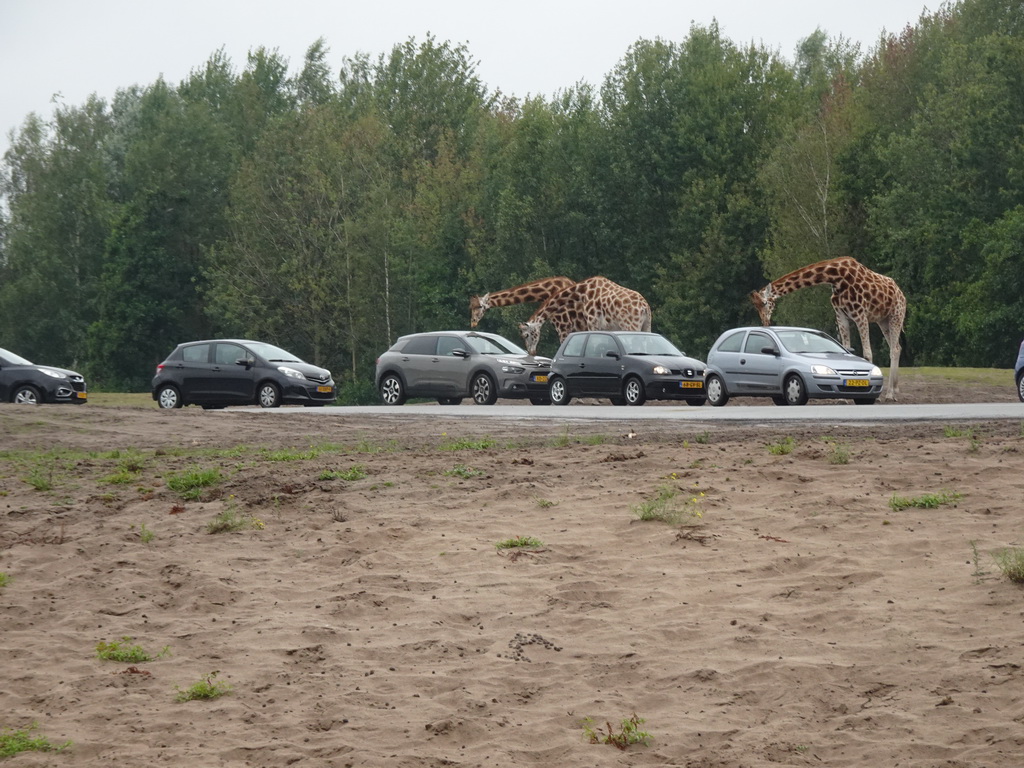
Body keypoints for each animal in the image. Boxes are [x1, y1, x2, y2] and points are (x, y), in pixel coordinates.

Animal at [516, 278, 651, 356]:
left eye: (526, 335)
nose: (532, 352)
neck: (582, 291)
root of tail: (644, 307)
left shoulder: (591, 323)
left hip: (631, 326)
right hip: (646, 326)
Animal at [753, 259, 905, 403]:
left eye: (765, 303)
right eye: (756, 307)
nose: (765, 323)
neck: (836, 278)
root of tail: (901, 294)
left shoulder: (861, 314)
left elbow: (867, 353)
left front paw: (873, 396)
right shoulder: (841, 315)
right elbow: (847, 348)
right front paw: (842, 399)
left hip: (895, 316)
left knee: (893, 349)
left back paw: (890, 395)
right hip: (883, 320)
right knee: (897, 347)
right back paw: (895, 391)